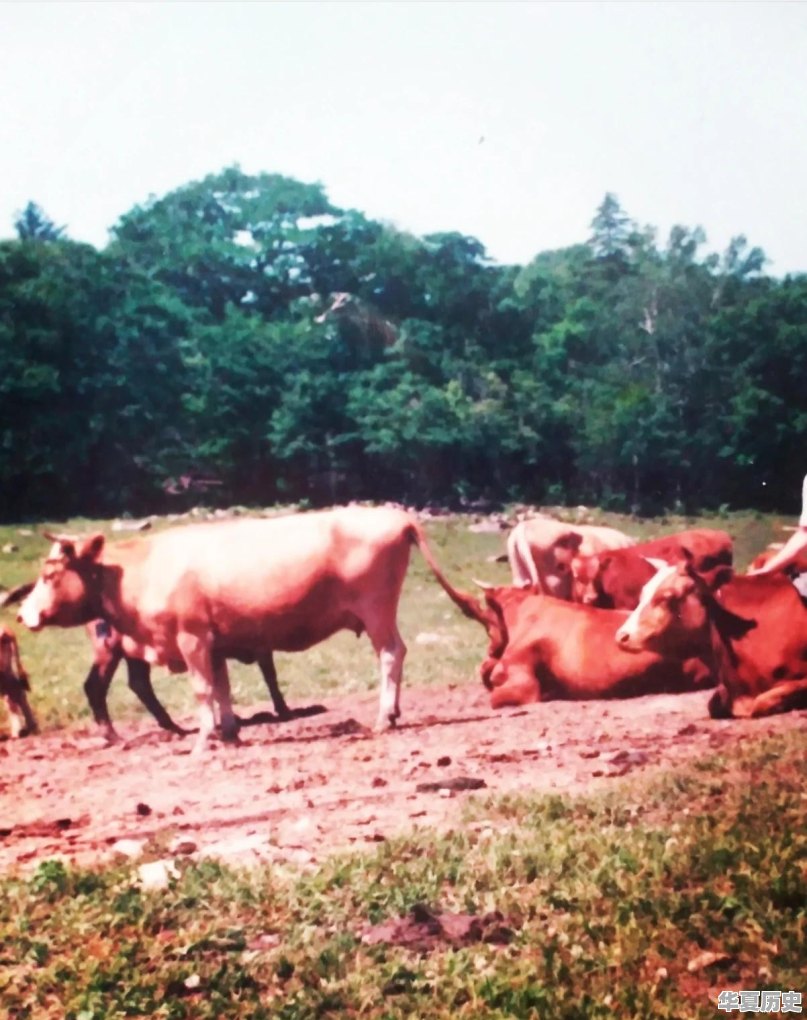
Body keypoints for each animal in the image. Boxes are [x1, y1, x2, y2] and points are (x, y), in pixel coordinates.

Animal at [17, 505, 479, 754]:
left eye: (50, 574)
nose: (22, 615)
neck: (138, 570)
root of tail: (394, 515)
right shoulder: (216, 643)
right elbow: (222, 690)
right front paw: (229, 733)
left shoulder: (192, 638)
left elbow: (202, 690)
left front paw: (203, 740)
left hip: (376, 611)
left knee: (391, 654)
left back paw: (385, 716)